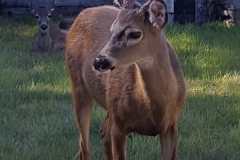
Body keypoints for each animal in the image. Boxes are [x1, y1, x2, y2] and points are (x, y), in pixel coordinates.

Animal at [64, 0, 187, 160]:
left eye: (135, 33)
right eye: (111, 31)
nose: (99, 61)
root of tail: (81, 14)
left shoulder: (171, 126)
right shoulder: (119, 126)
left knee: (103, 132)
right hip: (78, 84)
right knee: (84, 145)